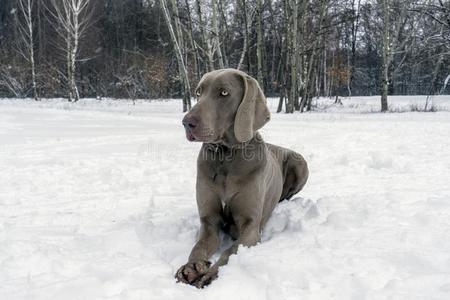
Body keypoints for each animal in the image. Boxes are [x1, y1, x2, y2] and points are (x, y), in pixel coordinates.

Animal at [177, 68, 310, 288]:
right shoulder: (209, 221)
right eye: (198, 92)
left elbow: (230, 251)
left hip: (301, 164)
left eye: (224, 93)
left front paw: (211, 273)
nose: (187, 122)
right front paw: (192, 266)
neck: (226, 156)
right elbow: (199, 245)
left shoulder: (250, 227)